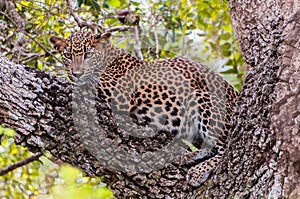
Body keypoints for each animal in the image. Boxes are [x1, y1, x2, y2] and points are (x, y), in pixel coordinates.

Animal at [48, 30, 237, 187]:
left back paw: (197, 172)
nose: (76, 73)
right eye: (68, 55)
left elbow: (88, 81)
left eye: (88, 55)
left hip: (202, 98)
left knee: (225, 148)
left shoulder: (118, 91)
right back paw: (190, 157)